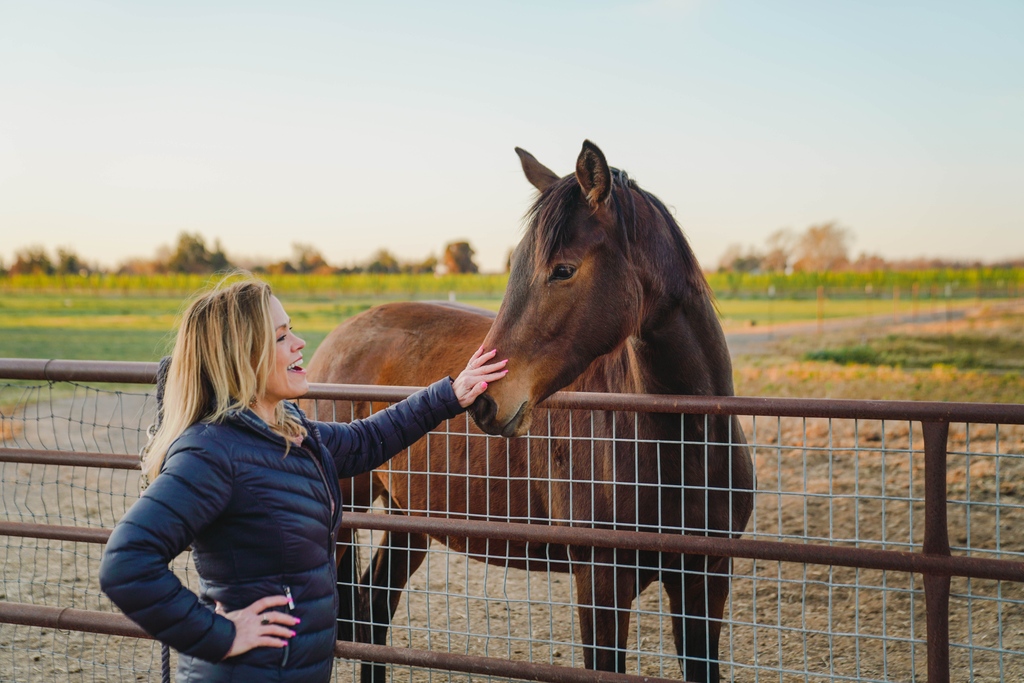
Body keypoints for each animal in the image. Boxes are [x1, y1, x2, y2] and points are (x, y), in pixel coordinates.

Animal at [305, 141, 755, 683]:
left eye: (563, 269)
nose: (483, 401)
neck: (684, 443)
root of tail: (335, 342)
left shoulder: (706, 581)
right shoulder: (601, 583)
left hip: (409, 517)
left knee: (374, 612)